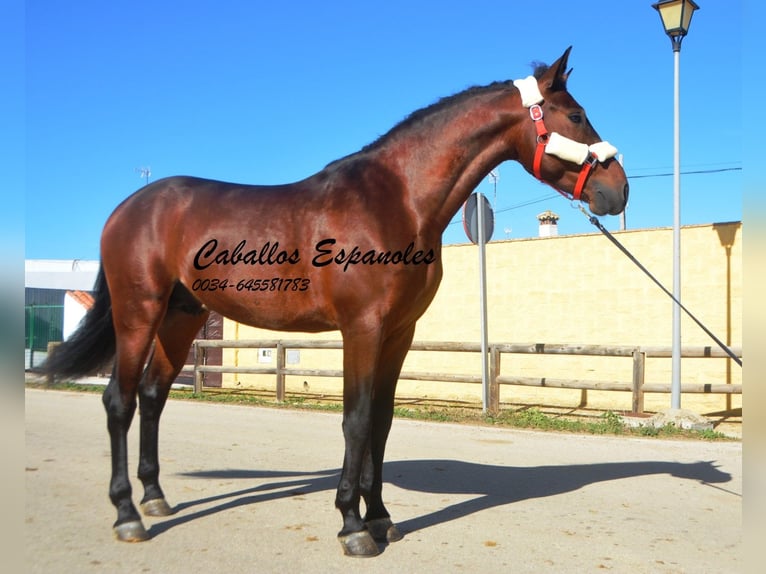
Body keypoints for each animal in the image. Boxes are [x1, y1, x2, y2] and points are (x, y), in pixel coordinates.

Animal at [43, 47, 632, 560]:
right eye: (576, 115)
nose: (617, 190)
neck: (397, 200)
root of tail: (130, 206)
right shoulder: (362, 328)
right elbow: (356, 418)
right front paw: (352, 525)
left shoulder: (398, 333)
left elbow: (382, 422)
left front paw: (381, 517)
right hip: (137, 312)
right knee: (119, 401)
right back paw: (127, 516)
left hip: (181, 317)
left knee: (152, 396)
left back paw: (155, 498)